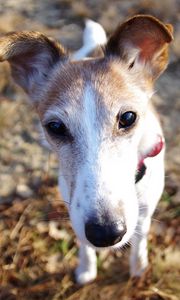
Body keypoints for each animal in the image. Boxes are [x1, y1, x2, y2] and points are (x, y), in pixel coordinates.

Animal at [0, 15, 174, 284]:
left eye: (128, 117)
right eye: (55, 127)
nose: (106, 233)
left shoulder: (146, 209)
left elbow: (140, 239)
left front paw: (138, 267)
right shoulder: (74, 207)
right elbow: (83, 244)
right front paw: (86, 268)